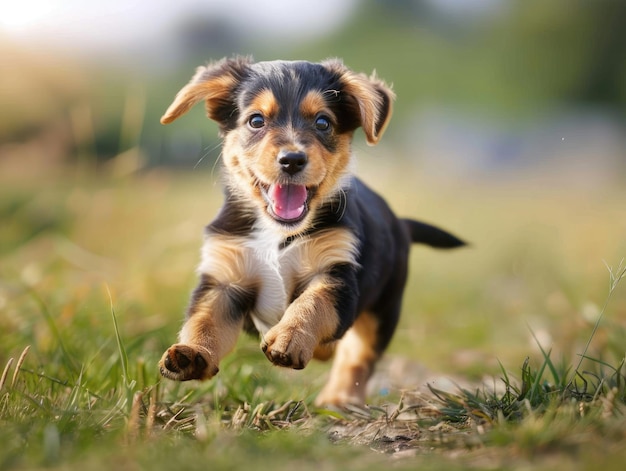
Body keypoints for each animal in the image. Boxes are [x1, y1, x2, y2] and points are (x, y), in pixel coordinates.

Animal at [156, 58, 460, 406]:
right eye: (256, 121)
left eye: (323, 123)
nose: (291, 160)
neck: (275, 235)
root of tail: (400, 223)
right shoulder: (225, 280)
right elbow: (205, 319)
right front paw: (191, 353)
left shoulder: (336, 277)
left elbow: (310, 305)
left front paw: (290, 338)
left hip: (383, 310)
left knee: (356, 358)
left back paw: (339, 398)